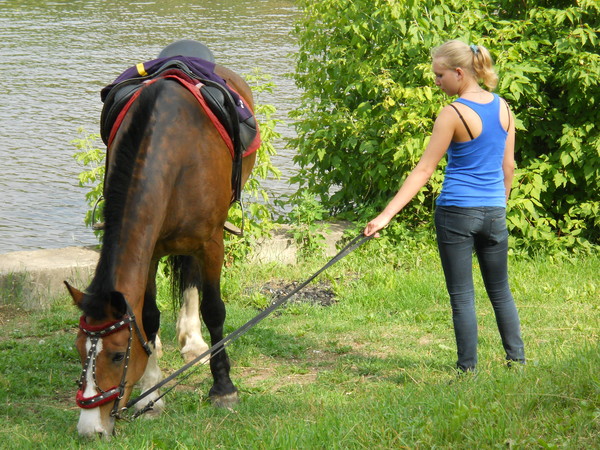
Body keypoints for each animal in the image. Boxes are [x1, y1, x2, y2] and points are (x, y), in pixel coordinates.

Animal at [65, 47, 258, 438]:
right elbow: (149, 317)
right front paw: (149, 395)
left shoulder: (212, 240)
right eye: (79, 350)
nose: (90, 429)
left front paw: (223, 389)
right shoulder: (151, 247)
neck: (175, 148)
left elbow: (215, 309)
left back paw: (194, 342)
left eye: (118, 355)